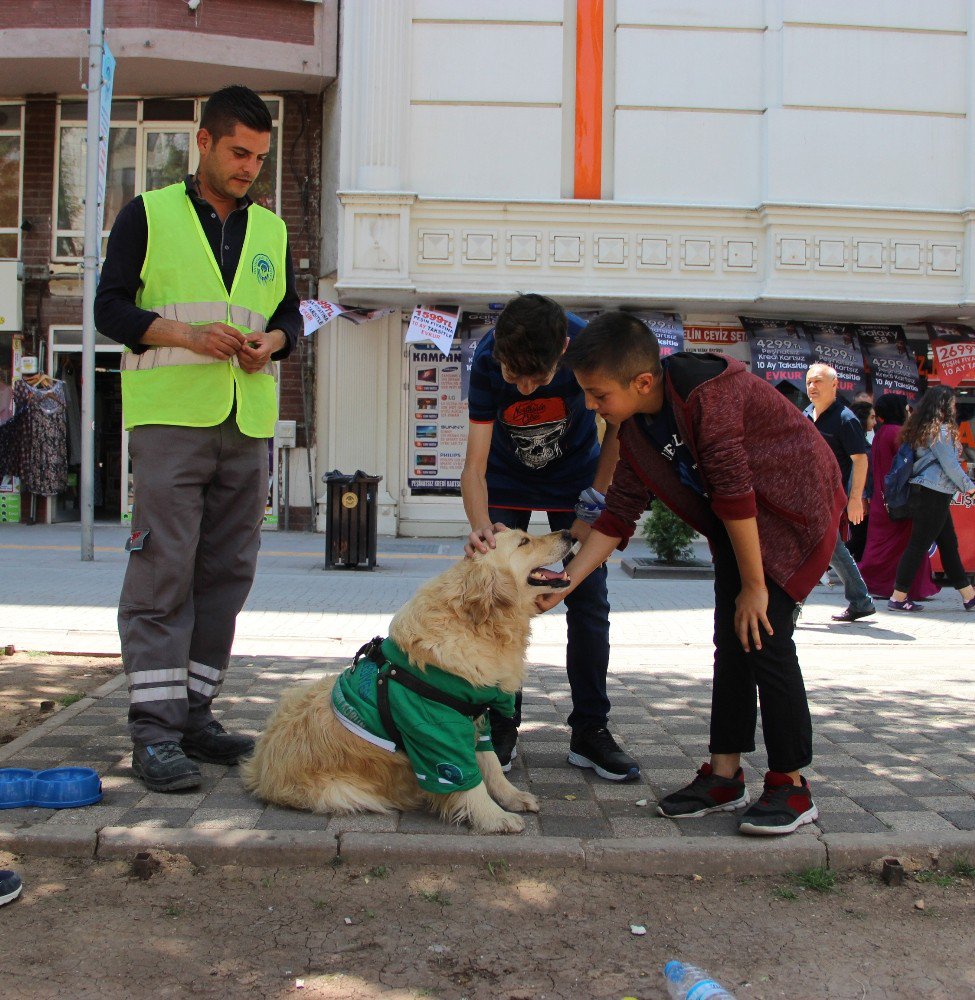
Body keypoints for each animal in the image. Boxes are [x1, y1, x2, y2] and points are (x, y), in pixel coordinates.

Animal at [241, 532, 576, 836]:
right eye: (524, 541)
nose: (570, 533)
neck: (479, 623)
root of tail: (259, 767)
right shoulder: (435, 728)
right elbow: (468, 780)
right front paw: (494, 817)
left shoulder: (475, 717)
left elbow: (491, 763)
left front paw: (512, 797)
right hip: (346, 791)